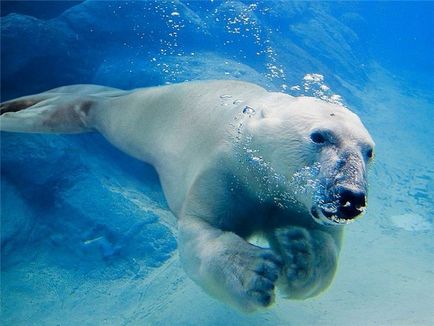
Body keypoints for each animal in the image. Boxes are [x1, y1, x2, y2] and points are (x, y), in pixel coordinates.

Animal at [0, 80, 374, 312]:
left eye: (368, 151)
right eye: (319, 136)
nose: (350, 198)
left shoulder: (297, 201)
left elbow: (323, 243)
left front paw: (301, 252)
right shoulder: (225, 168)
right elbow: (200, 228)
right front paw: (256, 273)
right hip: (138, 118)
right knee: (95, 107)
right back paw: (19, 114)